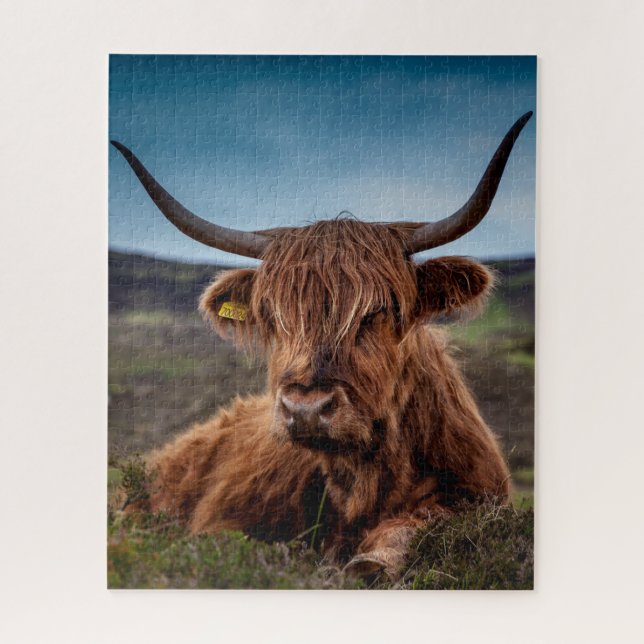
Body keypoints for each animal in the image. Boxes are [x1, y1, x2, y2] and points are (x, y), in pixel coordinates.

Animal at [111, 111, 532, 576]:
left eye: (379, 311)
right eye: (273, 315)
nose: (306, 409)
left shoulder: (476, 495)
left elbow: (416, 527)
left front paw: (370, 562)